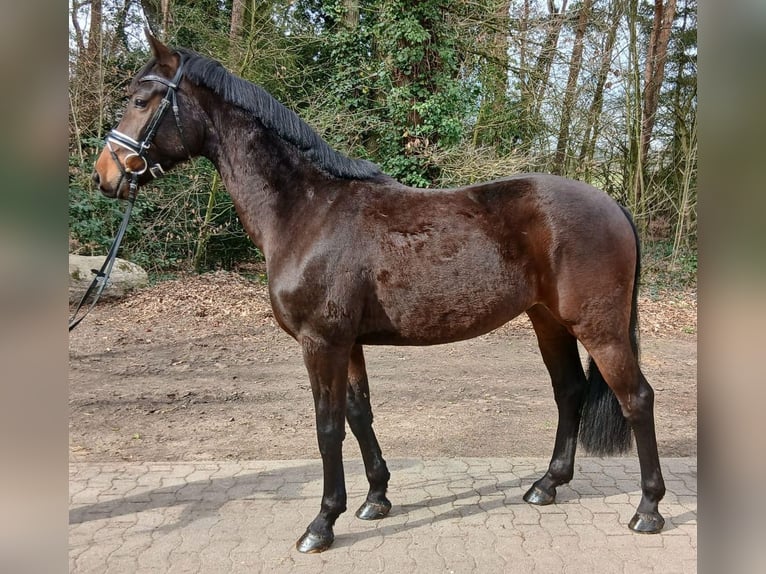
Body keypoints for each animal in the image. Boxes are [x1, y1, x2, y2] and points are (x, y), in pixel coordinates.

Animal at [92, 30, 666, 553]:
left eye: (140, 100)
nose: (104, 175)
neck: (307, 211)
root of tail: (612, 204)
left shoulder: (321, 342)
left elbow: (327, 427)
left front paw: (322, 523)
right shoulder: (348, 344)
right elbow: (358, 413)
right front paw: (375, 499)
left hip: (599, 328)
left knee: (636, 398)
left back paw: (648, 509)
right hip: (548, 321)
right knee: (569, 392)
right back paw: (547, 485)